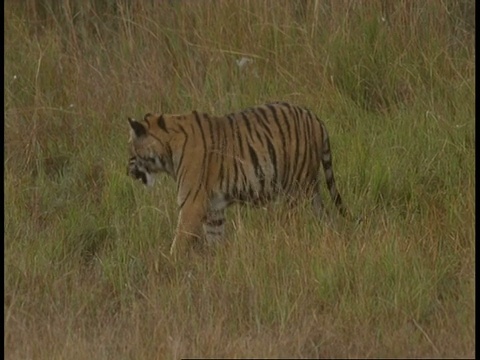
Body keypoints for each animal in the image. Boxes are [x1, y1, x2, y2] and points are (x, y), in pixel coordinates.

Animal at [125, 102, 346, 258]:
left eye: (132, 152)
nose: (127, 171)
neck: (168, 149)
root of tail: (316, 119)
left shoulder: (191, 204)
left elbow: (179, 241)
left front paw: (170, 264)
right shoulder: (214, 209)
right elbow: (214, 239)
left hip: (296, 189)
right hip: (311, 188)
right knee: (325, 217)